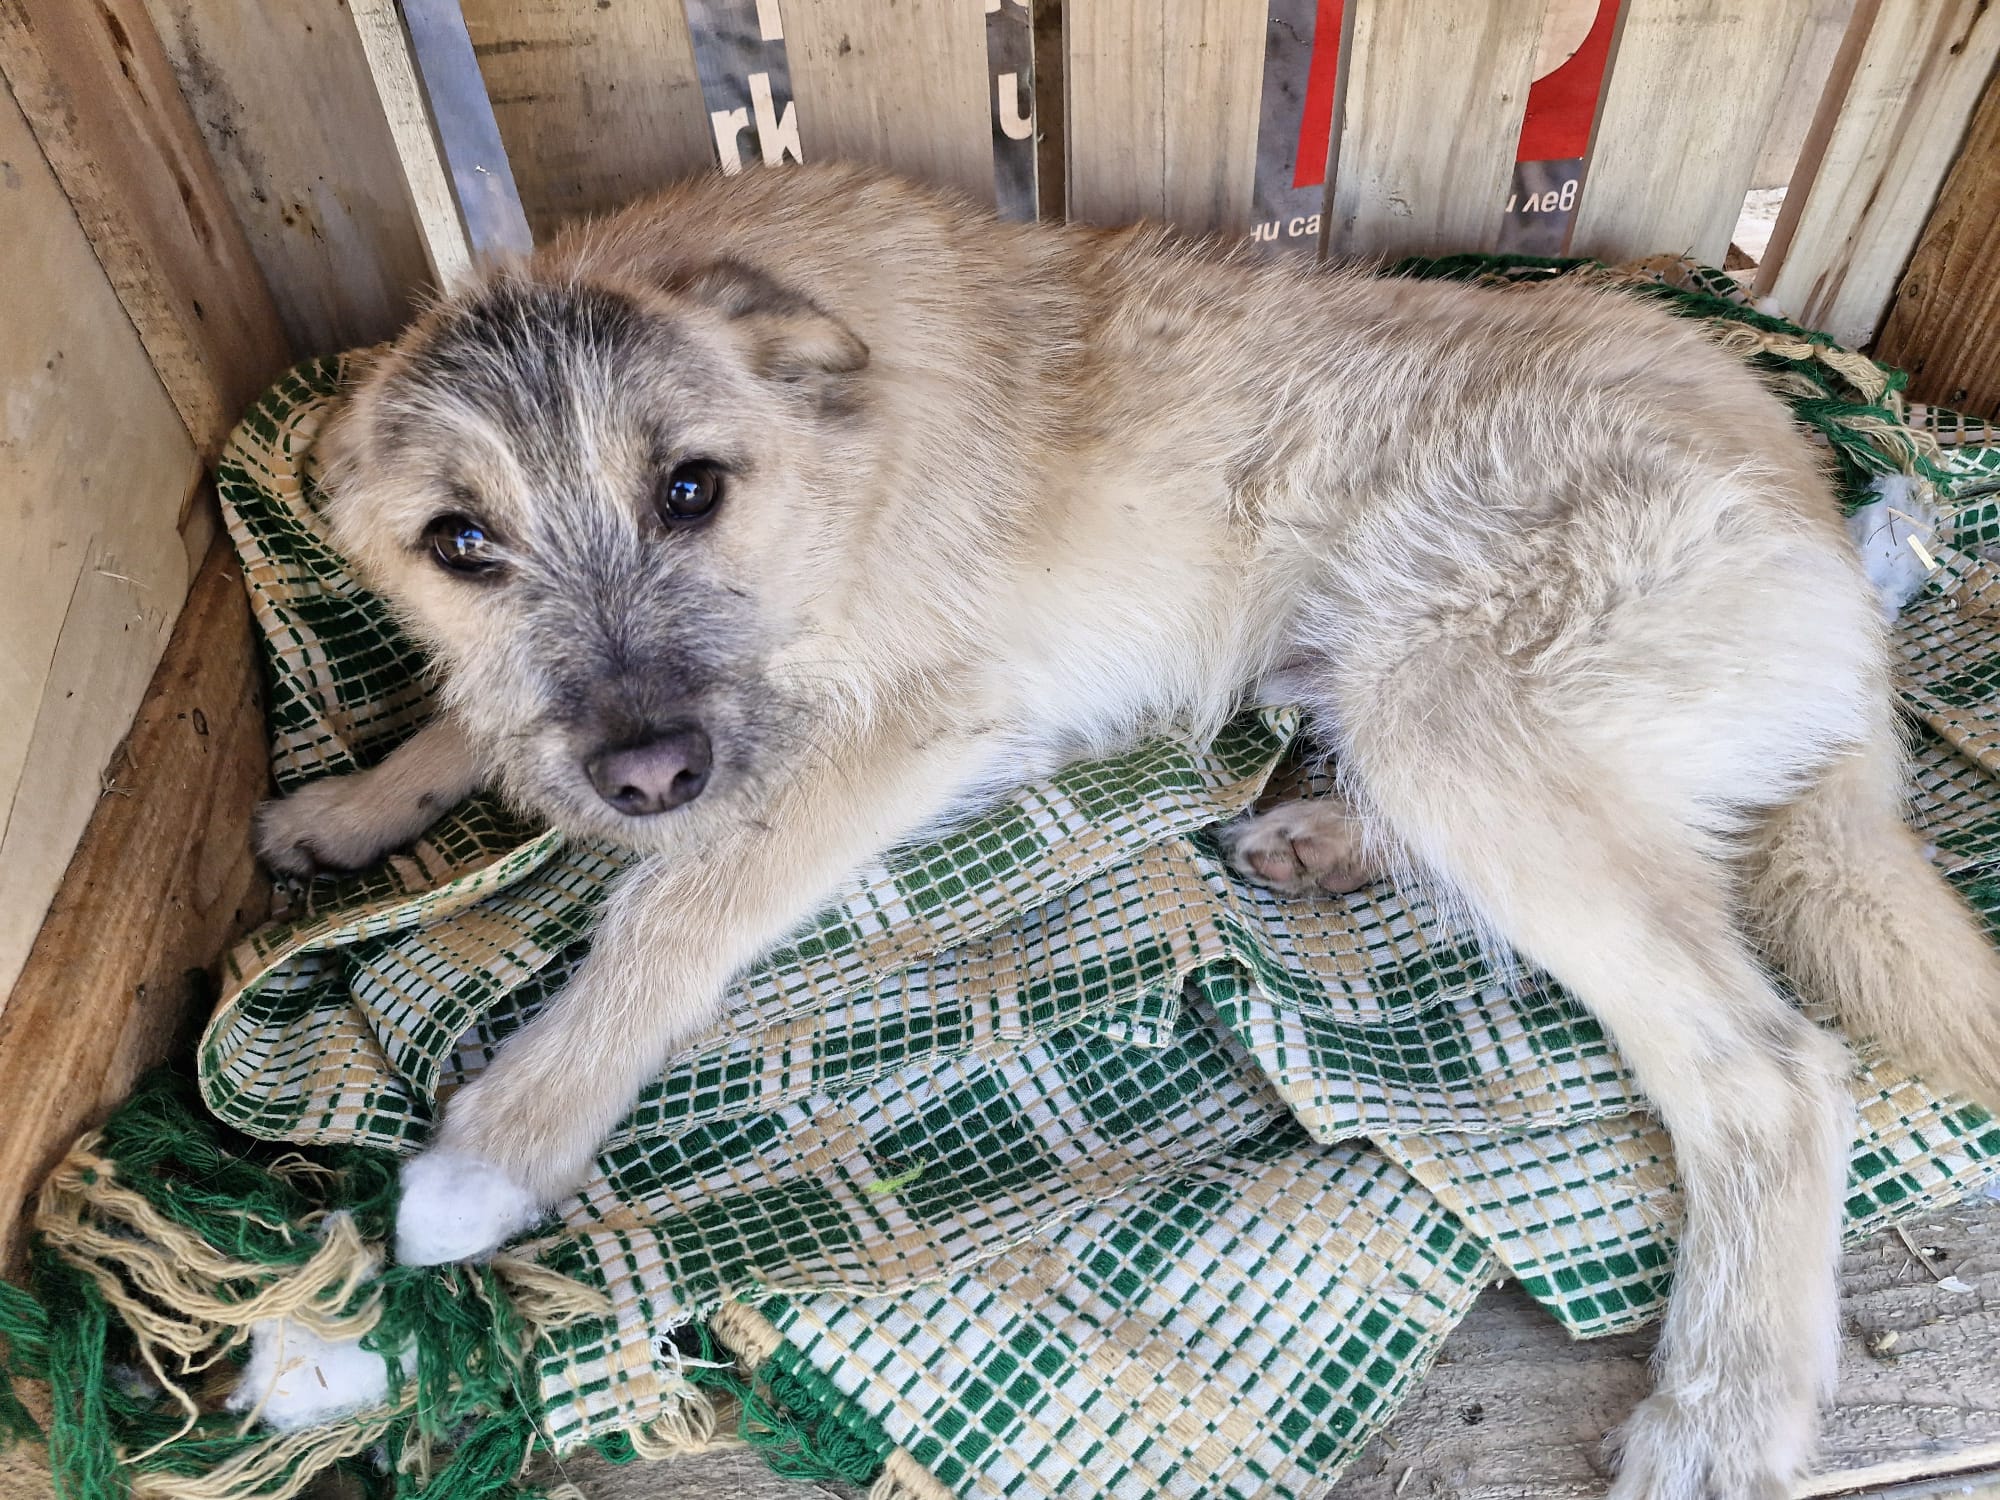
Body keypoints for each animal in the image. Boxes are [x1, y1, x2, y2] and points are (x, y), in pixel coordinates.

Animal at [255, 162, 2000, 1498]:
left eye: (690, 489)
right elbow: (473, 715)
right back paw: (1324, 842)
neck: (834, 448)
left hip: (1455, 710)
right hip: (1426, 706)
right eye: (459, 542)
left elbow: (668, 915)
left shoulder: (900, 732)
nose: (644, 778)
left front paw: (503, 1141)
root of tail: (1827, 530)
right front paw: (357, 803)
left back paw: (1722, 1413)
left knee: (1768, 1074)